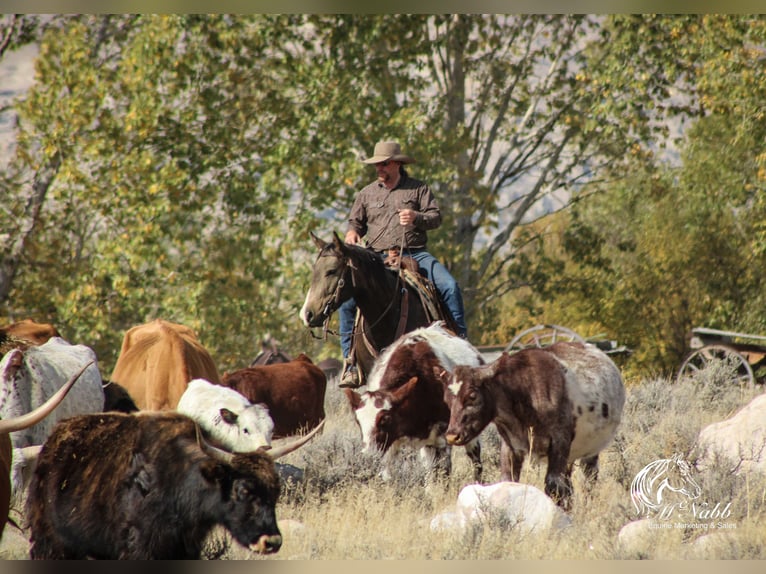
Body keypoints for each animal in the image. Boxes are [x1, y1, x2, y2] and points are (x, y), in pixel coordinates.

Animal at [344, 326, 484, 484]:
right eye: (358, 421)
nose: (368, 455)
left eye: (385, 419)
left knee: (476, 460)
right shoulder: (391, 444)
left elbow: (444, 473)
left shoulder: (443, 439)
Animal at [444, 342, 624, 508]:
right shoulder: (510, 446)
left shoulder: (560, 442)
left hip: (591, 452)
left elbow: (554, 485)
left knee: (589, 480)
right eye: (446, 399)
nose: (452, 435)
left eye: (472, 396)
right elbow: (508, 481)